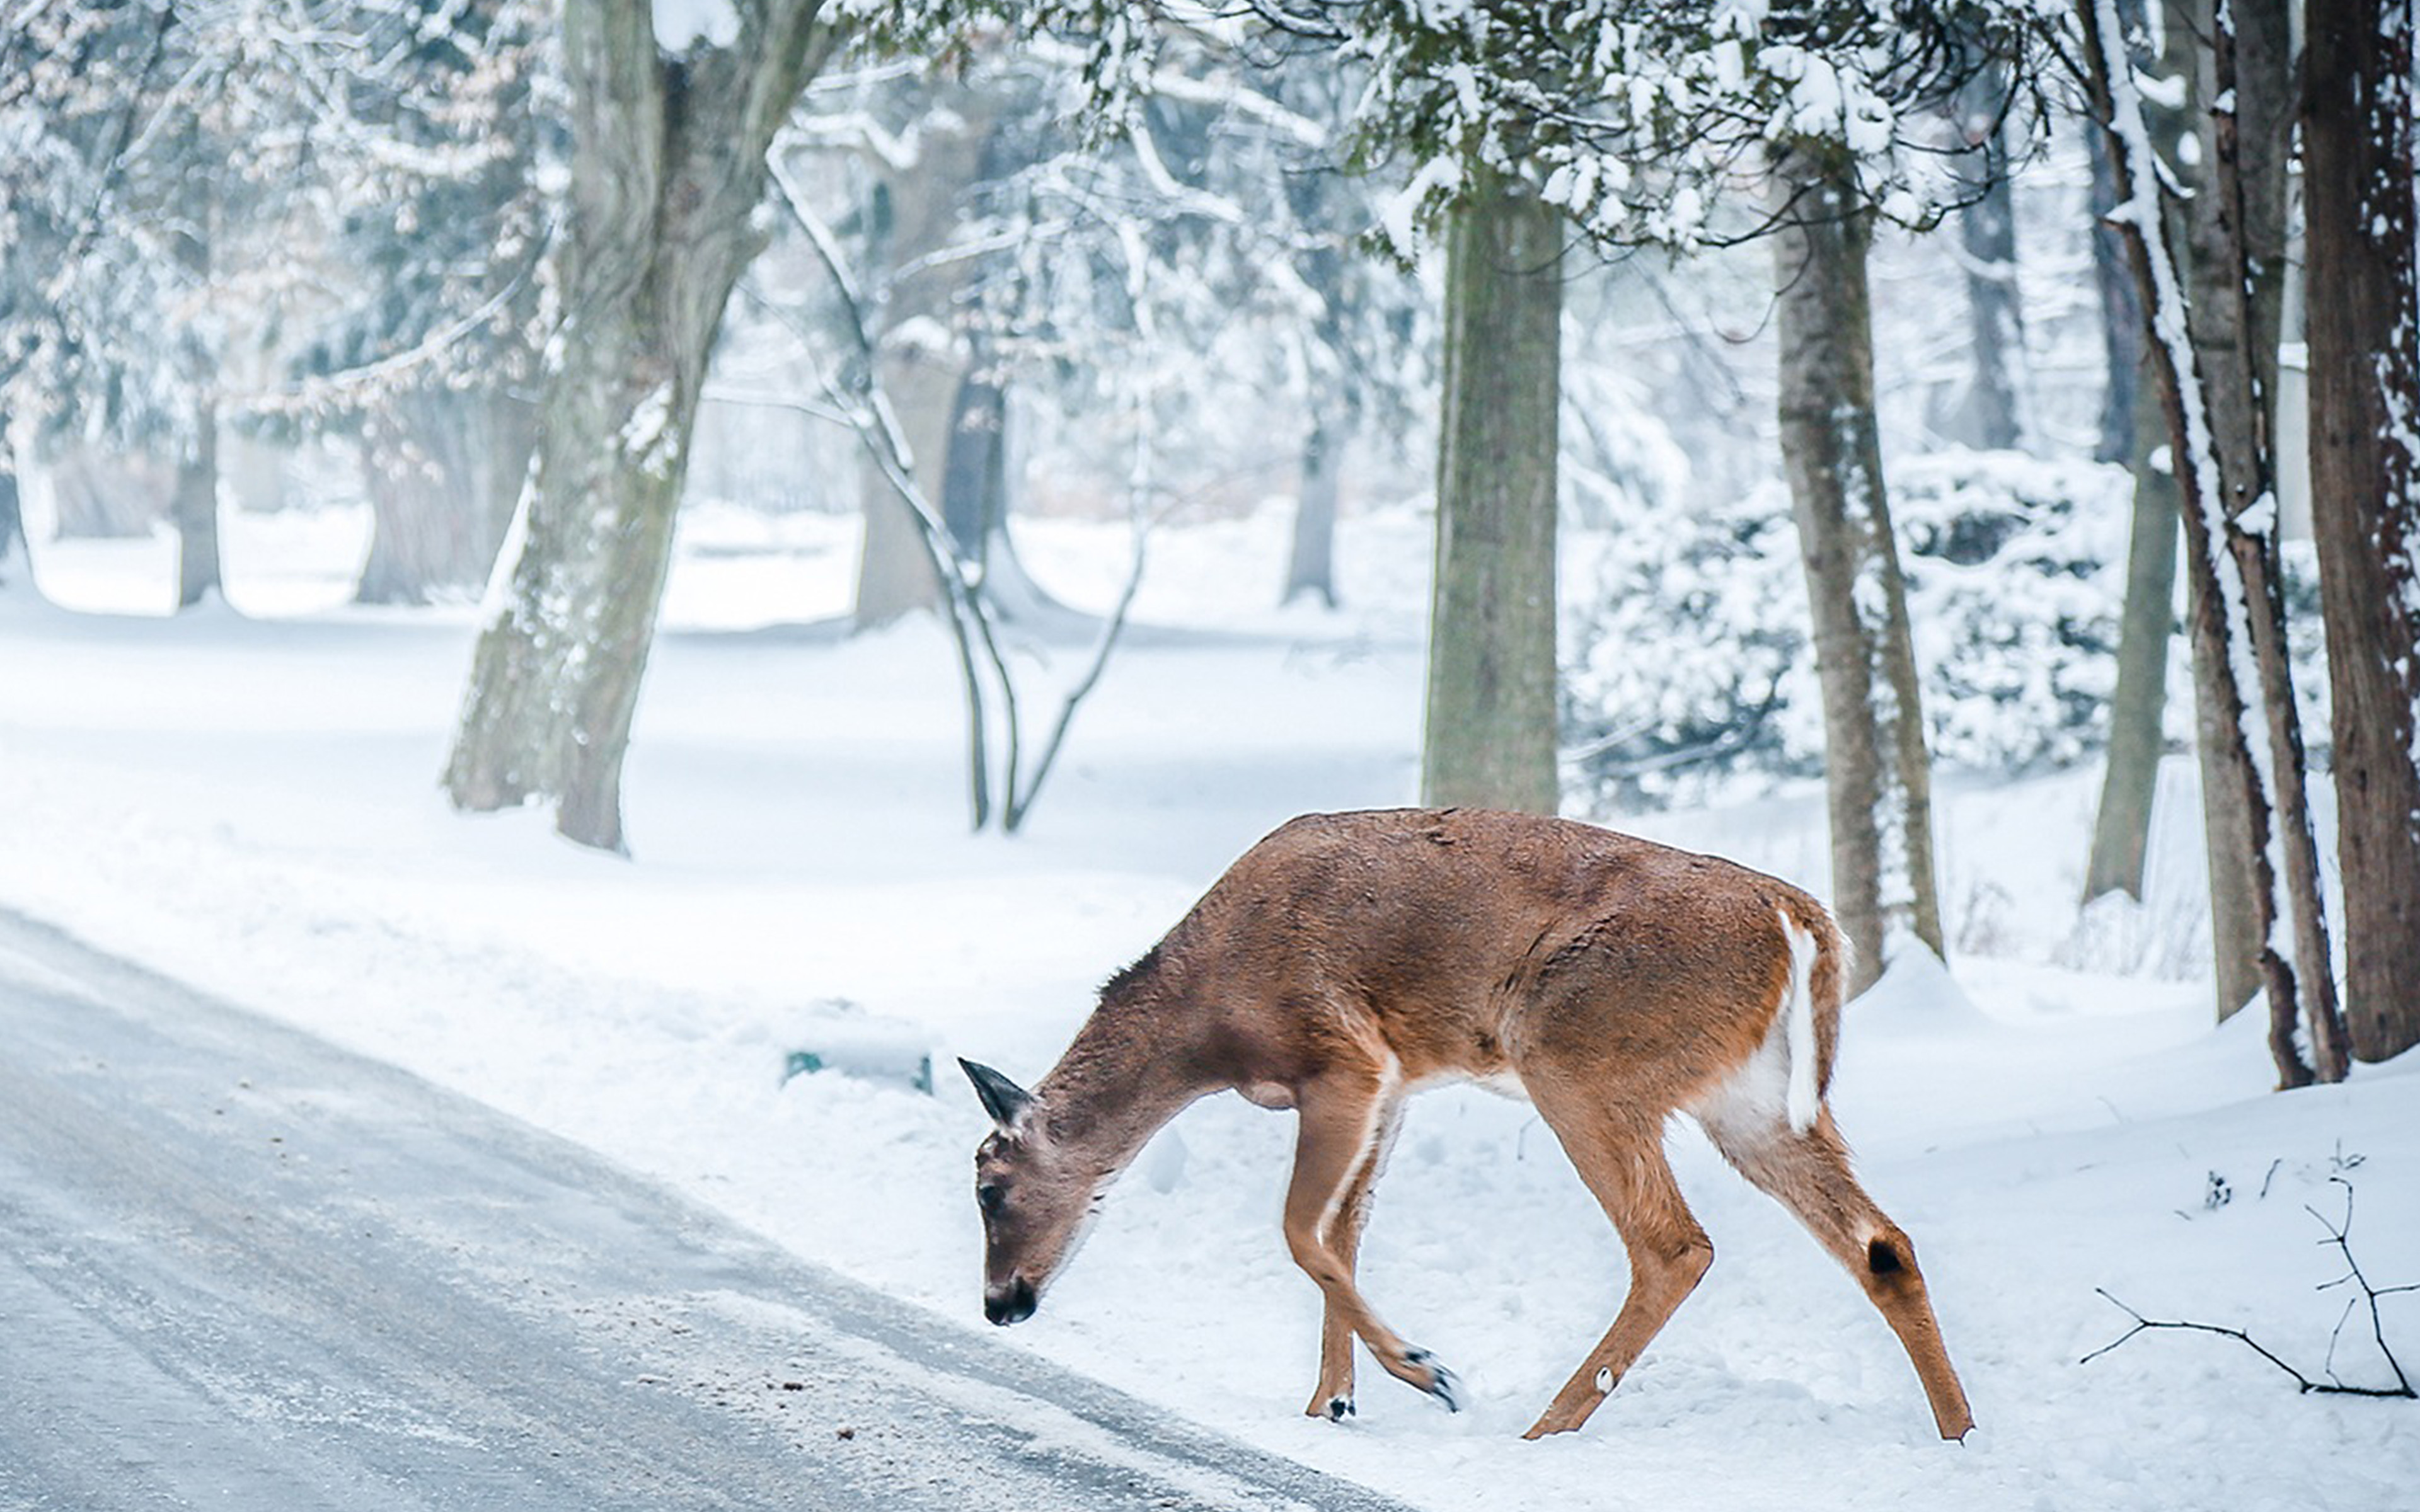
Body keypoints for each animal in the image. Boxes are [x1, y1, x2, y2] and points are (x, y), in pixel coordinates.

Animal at [958, 807, 1975, 1441]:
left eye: (989, 1187)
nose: (1001, 1305)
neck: (1205, 1023)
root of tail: (1800, 921)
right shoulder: (1398, 1083)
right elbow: (1343, 1233)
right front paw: (1331, 1405)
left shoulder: (1345, 1056)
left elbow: (1299, 1230)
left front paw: (1425, 1370)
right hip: (1751, 1100)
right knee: (1881, 1244)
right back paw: (1959, 1434)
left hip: (1576, 1053)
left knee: (1674, 1244)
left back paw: (1543, 1427)